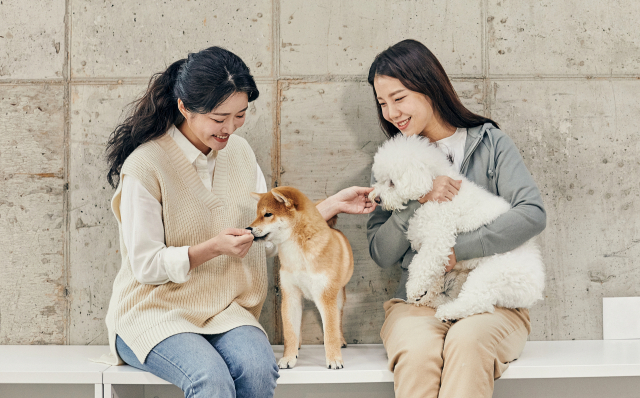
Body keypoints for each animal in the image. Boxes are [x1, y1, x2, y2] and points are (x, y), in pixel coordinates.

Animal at [246, 187, 356, 370]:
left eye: (267, 214)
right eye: (256, 214)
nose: (248, 229)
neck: (297, 254)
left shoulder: (326, 297)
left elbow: (330, 332)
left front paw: (334, 359)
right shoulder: (290, 295)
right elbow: (290, 332)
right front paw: (288, 357)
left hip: (338, 297)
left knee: (338, 321)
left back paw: (341, 340)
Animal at [370, 135, 544, 322]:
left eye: (392, 183)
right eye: (379, 180)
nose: (376, 199)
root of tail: (534, 291)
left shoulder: (437, 239)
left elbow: (421, 264)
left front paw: (415, 289)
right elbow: (435, 274)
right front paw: (426, 295)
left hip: (491, 274)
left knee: (477, 301)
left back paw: (447, 312)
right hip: (466, 275)